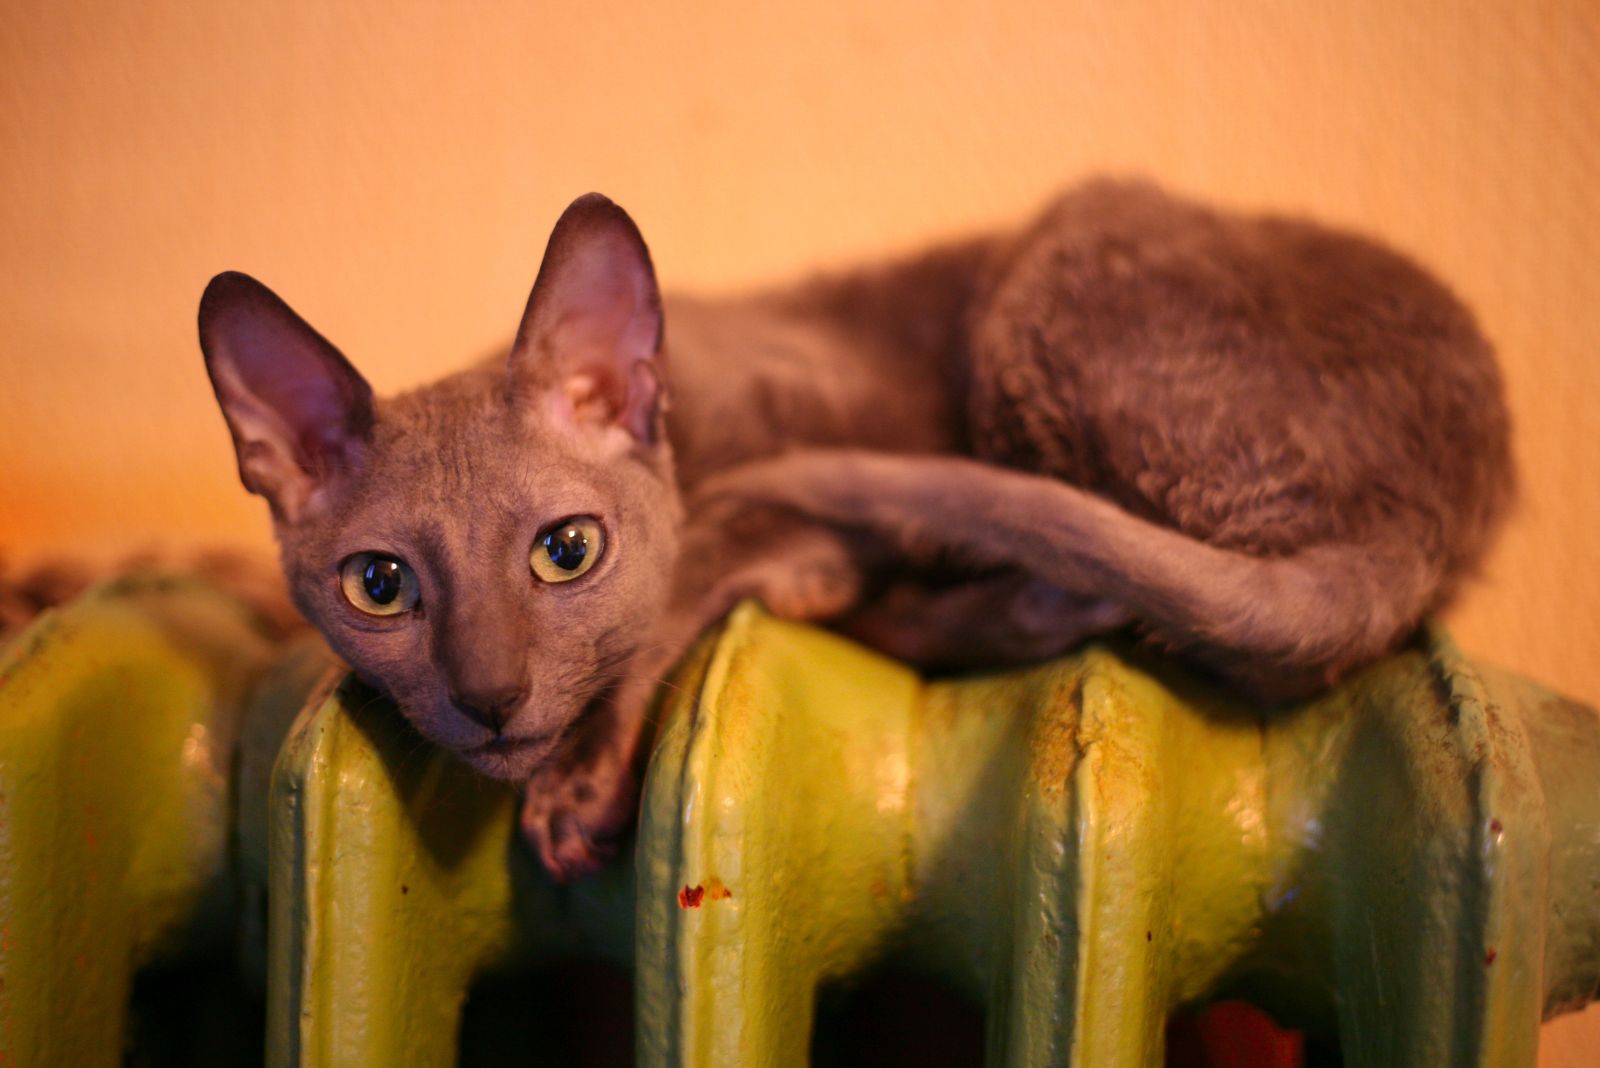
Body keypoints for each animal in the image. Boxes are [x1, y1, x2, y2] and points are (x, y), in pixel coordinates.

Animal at [196, 183, 1510, 882]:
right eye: (379, 587)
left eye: (568, 552)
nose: (489, 696)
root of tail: (1446, 494)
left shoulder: (824, 424)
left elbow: (681, 587)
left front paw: (577, 783)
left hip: (1052, 271)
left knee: (1104, 577)